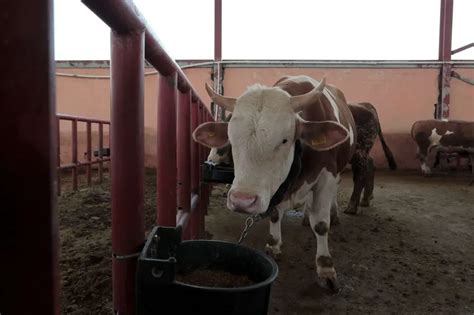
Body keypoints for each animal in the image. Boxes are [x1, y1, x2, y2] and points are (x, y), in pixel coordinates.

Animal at [193, 76, 356, 288]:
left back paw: (332, 213)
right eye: (230, 139)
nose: (242, 201)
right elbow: (275, 214)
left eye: (285, 140)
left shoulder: (327, 176)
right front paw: (274, 244)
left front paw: (326, 267)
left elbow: (321, 223)